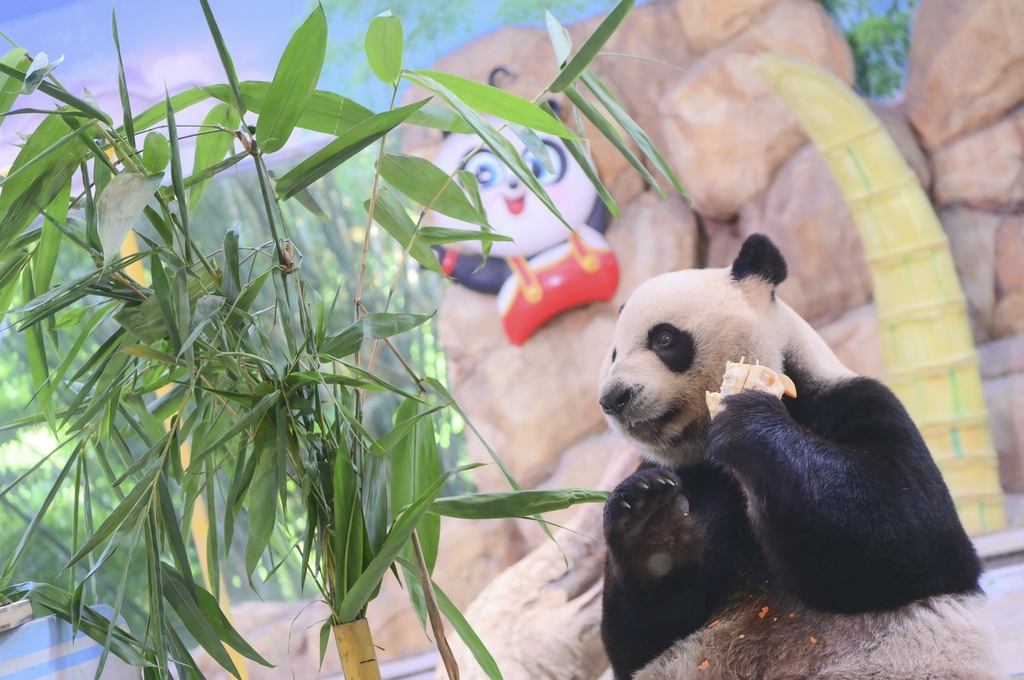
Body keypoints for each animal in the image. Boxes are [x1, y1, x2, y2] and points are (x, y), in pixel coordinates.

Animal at [597, 234, 1005, 680]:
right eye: (613, 353)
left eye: (664, 339)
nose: (613, 398)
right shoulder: (683, 474)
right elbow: (639, 639)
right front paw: (650, 523)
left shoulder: (856, 401)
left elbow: (914, 525)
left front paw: (746, 418)